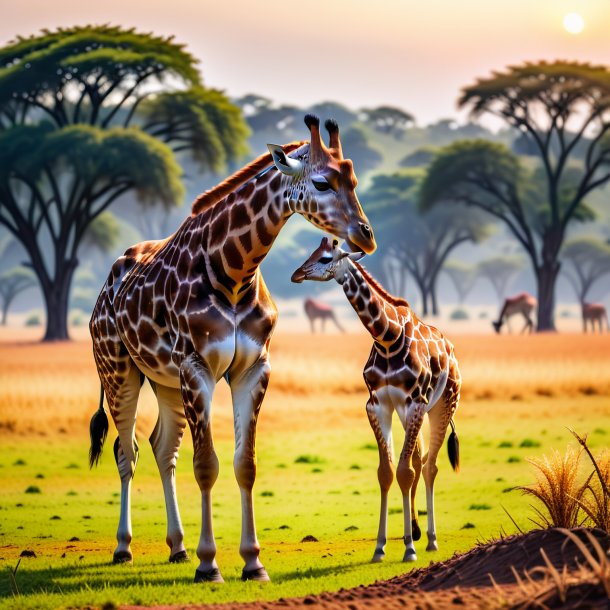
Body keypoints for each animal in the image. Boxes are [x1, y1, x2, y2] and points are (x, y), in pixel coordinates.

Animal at [87, 115, 372, 580]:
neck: (235, 271)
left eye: (354, 180)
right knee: (125, 450)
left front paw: (253, 561)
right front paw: (210, 564)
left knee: (162, 448)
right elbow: (206, 465)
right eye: (322, 182)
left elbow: (245, 464)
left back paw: (177, 547)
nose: (365, 236)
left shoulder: (253, 367)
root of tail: (107, 284)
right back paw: (124, 547)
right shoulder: (197, 367)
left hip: (164, 380)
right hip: (118, 370)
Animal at [292, 236, 458, 560]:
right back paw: (417, 532)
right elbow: (386, 471)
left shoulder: (415, 401)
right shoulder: (378, 404)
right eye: (312, 251)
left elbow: (404, 471)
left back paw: (431, 540)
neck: (388, 338)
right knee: (420, 459)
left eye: (326, 257)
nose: (296, 274)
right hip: (409, 413)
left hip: (443, 404)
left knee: (429, 466)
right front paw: (380, 547)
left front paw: (409, 549)